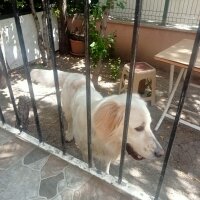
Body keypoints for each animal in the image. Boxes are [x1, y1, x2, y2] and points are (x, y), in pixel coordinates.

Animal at [30, 69, 164, 173]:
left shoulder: (108, 155)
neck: (103, 138)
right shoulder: (86, 152)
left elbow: (105, 169)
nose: (161, 154)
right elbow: (92, 166)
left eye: (150, 125)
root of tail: (73, 74)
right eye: (139, 128)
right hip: (67, 110)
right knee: (70, 121)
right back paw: (69, 134)